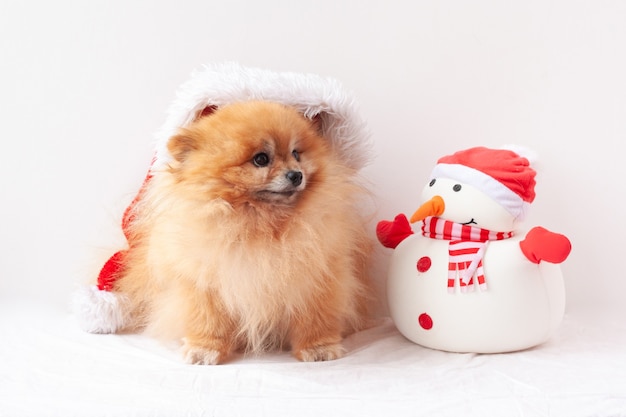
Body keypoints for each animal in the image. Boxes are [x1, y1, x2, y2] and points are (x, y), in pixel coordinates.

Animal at [113, 99, 370, 362]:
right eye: (261, 159)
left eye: (296, 154)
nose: (296, 175)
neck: (259, 222)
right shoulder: (205, 284)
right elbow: (208, 320)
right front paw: (204, 349)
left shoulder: (316, 279)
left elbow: (316, 319)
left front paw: (318, 348)